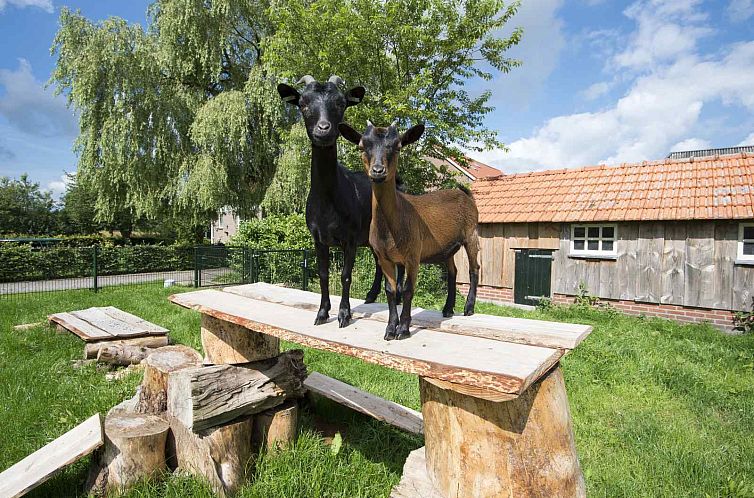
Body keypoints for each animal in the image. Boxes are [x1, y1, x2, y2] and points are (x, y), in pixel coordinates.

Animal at [338, 121, 478, 340]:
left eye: (397, 147)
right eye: (362, 146)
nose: (378, 171)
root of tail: (464, 194)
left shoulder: (413, 256)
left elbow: (407, 290)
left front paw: (403, 328)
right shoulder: (385, 258)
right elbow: (390, 290)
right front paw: (390, 329)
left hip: (471, 234)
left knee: (474, 269)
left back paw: (468, 307)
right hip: (447, 248)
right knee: (453, 272)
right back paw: (448, 308)